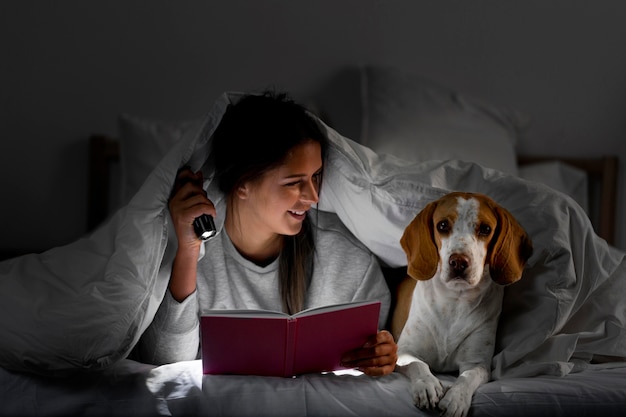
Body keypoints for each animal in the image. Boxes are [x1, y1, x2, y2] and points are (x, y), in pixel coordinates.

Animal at [392, 192, 528, 416]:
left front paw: (456, 398)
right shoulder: (404, 351)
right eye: (442, 225)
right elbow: (418, 365)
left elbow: (467, 378)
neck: (454, 301)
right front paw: (427, 385)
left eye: (485, 229)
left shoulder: (477, 363)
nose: (458, 262)